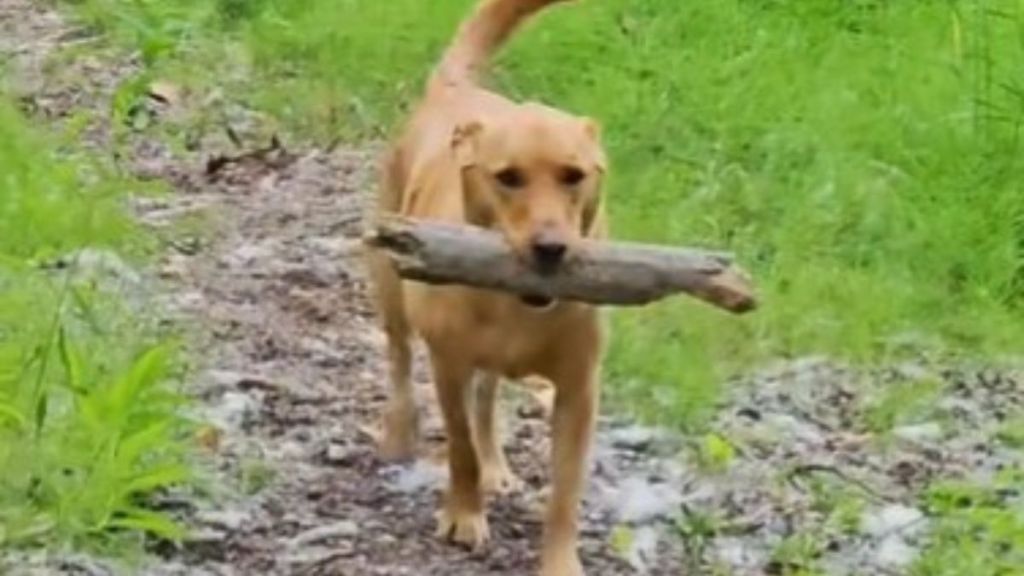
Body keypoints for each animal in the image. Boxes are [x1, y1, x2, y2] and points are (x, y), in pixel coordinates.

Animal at [366, 2, 602, 569]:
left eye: (574, 176)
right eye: (508, 177)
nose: (550, 247)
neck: (516, 309)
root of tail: (456, 90)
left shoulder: (579, 390)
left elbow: (565, 492)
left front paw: (560, 562)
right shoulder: (448, 364)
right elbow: (460, 446)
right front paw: (464, 515)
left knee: (488, 399)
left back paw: (497, 464)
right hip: (389, 282)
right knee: (400, 358)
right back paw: (399, 430)